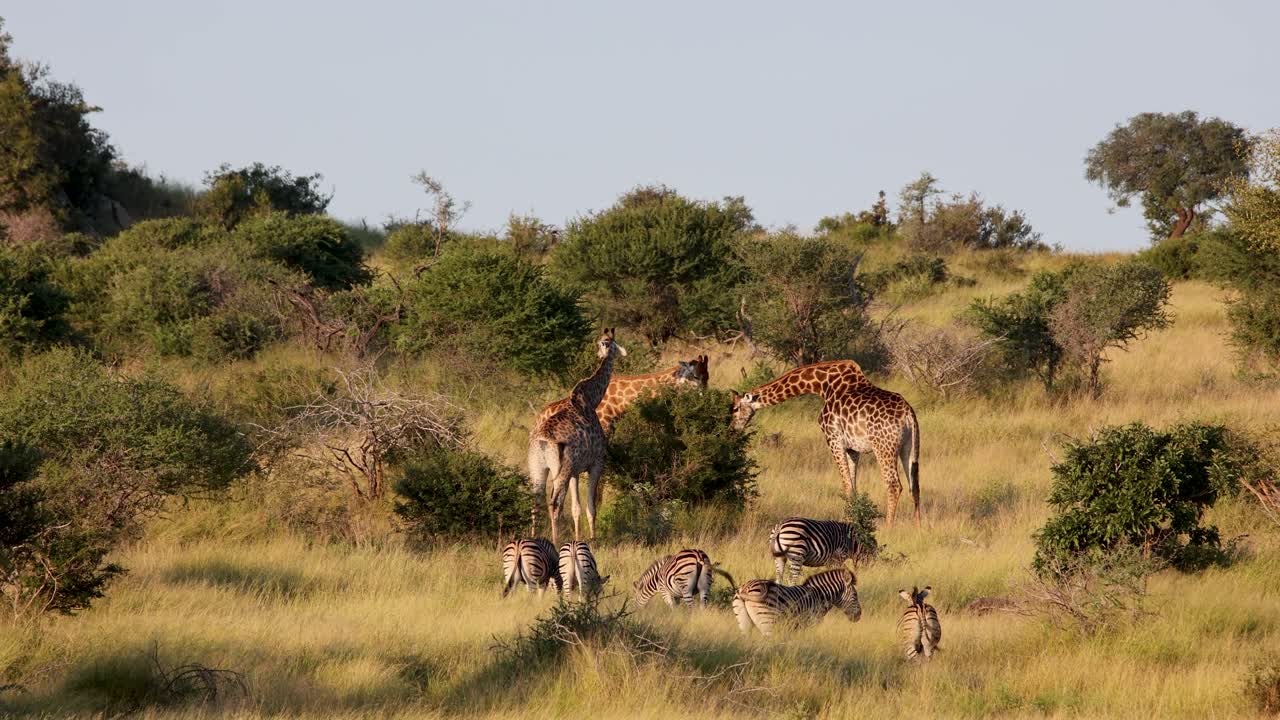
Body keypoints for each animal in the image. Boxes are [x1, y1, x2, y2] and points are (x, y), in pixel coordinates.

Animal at [528, 329, 626, 544]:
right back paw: (555, 540)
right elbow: (591, 506)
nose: (602, 353)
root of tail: (542, 441)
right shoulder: (596, 464)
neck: (591, 398)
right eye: (608, 342)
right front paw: (592, 537)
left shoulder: (575, 470)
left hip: (537, 468)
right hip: (560, 471)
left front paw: (579, 536)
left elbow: (576, 508)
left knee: (535, 501)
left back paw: (533, 538)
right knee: (554, 503)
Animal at [531, 354, 710, 530]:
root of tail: (537, 420)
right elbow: (597, 494)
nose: (705, 400)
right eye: (695, 376)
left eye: (707, 377)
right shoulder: (599, 455)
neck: (618, 405)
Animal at [731, 360, 922, 527]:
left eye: (735, 408)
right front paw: (853, 520)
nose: (732, 429)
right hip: (909, 447)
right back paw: (918, 527)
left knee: (894, 485)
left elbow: (846, 485)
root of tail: (908, 414)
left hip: (883, 447)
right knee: (914, 485)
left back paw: (889, 527)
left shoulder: (833, 438)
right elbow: (852, 486)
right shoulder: (853, 448)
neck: (823, 386)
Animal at [732, 567, 861, 636]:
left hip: (744, 624)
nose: (859, 616)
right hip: (767, 623)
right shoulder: (810, 623)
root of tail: (746, 588)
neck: (819, 596)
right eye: (855, 595)